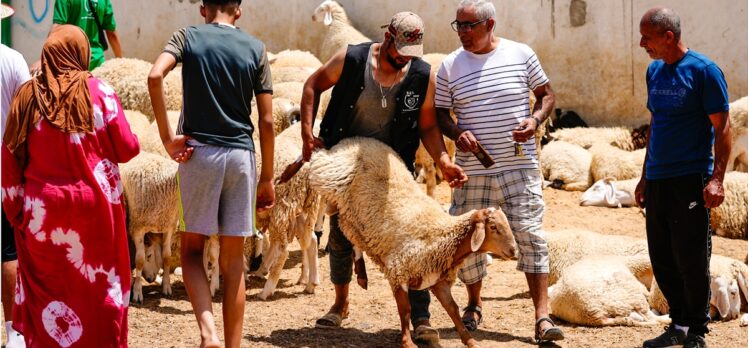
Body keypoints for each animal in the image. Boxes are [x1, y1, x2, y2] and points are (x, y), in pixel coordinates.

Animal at [308, 137, 516, 348]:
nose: (513, 251)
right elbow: (405, 309)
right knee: (327, 198)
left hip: (352, 213)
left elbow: (453, 309)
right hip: (330, 178)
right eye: (493, 227)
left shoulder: (437, 279)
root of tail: (358, 139)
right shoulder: (398, 273)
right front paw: (407, 342)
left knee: (347, 226)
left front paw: (469, 340)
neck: (444, 236)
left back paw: (361, 272)